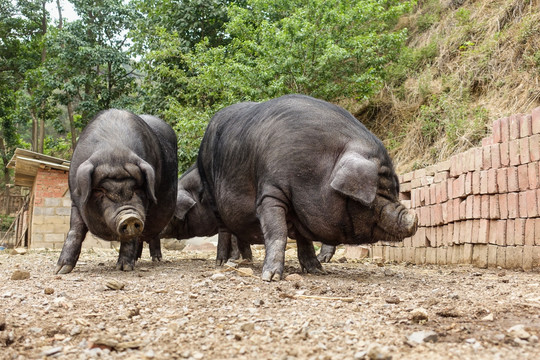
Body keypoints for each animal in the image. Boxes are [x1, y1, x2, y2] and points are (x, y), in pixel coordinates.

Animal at [55, 109, 177, 272]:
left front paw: (124, 268)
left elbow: (131, 238)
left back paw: (156, 260)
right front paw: (61, 270)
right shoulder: (75, 200)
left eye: (137, 187)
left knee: (153, 233)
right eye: (101, 190)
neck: (114, 150)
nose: (130, 217)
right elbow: (76, 229)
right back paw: (137, 259)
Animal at [198, 94, 418, 280]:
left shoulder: (301, 208)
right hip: (210, 188)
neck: (316, 169)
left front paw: (318, 271)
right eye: (380, 191)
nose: (414, 219)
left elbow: (305, 239)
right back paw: (222, 263)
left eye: (394, 189)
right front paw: (270, 277)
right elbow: (278, 232)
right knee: (224, 229)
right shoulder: (271, 193)